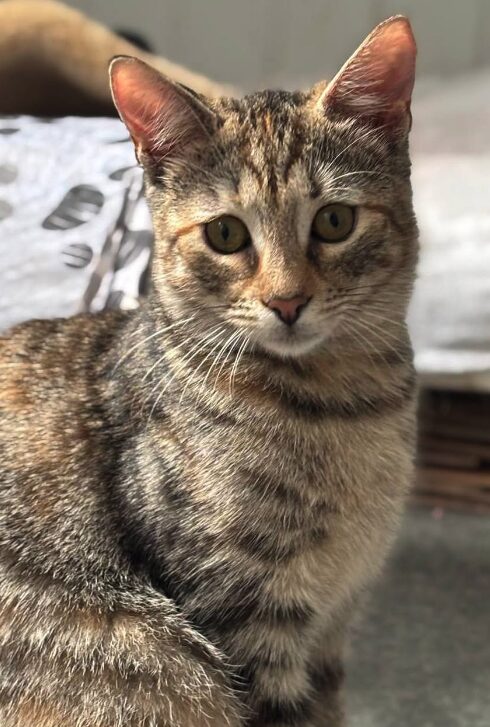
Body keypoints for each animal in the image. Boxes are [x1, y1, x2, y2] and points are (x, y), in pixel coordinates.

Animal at [0, 12, 418, 727]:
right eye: (226, 234)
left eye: (335, 221)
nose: (287, 301)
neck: (349, 405)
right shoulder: (242, 613)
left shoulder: (335, 624)